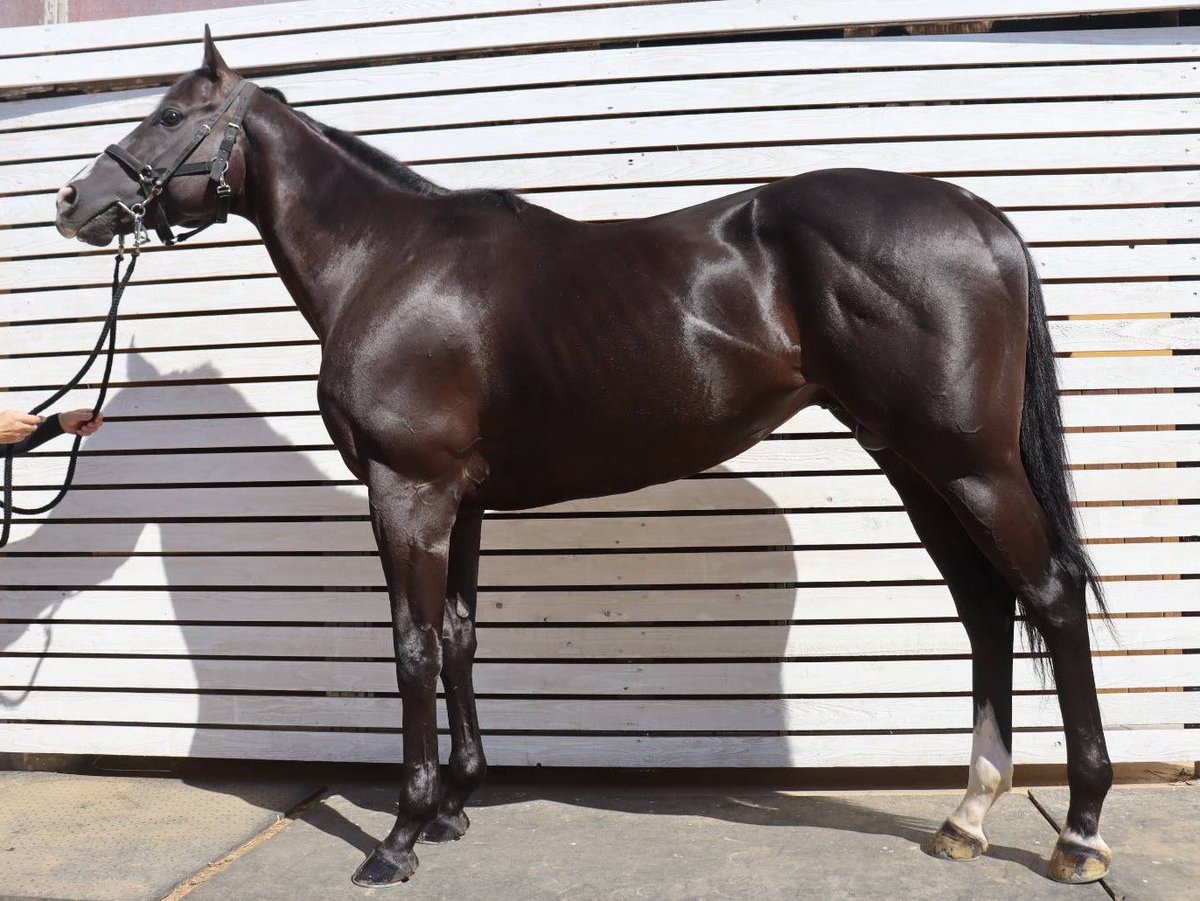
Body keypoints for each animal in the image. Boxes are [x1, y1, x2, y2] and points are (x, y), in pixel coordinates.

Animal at [52, 29, 1114, 888]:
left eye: (170, 113)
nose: (72, 200)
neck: (388, 262)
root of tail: (979, 214)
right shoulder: (463, 501)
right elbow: (458, 638)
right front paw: (455, 807)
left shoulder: (409, 492)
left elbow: (409, 646)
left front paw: (400, 834)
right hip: (914, 461)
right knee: (985, 606)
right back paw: (967, 816)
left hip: (971, 463)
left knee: (1050, 594)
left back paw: (1079, 830)